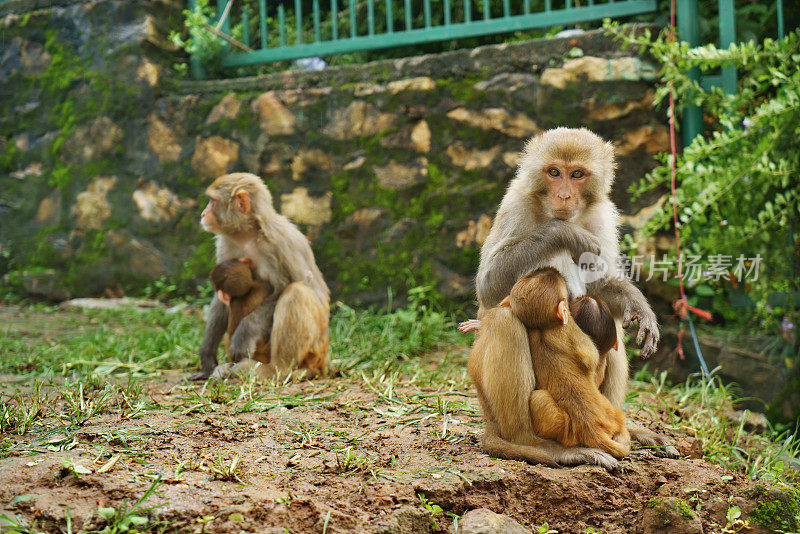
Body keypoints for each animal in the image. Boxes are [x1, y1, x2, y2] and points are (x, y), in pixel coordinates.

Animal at [192, 173, 330, 382]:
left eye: (212, 202)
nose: (202, 214)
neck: (248, 234)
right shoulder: (226, 243)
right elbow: (222, 294)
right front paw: (207, 357)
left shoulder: (278, 241)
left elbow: (288, 285)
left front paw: (244, 333)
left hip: (314, 350)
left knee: (296, 292)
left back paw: (276, 369)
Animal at [500, 268, 632, 460]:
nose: (553, 270)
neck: (545, 327)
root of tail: (592, 428)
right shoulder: (576, 333)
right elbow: (592, 359)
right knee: (539, 398)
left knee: (538, 399)